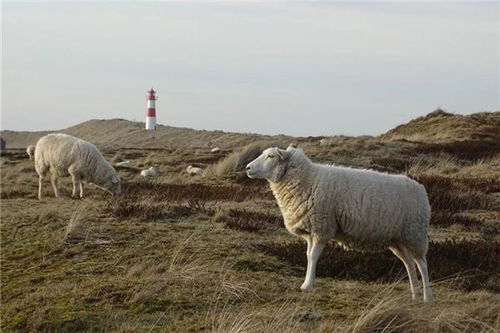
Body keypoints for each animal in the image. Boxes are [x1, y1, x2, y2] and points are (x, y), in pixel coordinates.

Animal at [246, 145, 434, 300]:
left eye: (270, 156)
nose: (247, 167)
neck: (307, 180)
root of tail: (421, 188)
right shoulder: (312, 230)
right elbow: (308, 255)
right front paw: (307, 282)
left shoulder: (322, 228)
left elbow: (313, 256)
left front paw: (307, 286)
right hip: (398, 239)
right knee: (409, 263)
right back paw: (415, 295)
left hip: (415, 233)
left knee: (422, 263)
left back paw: (427, 297)